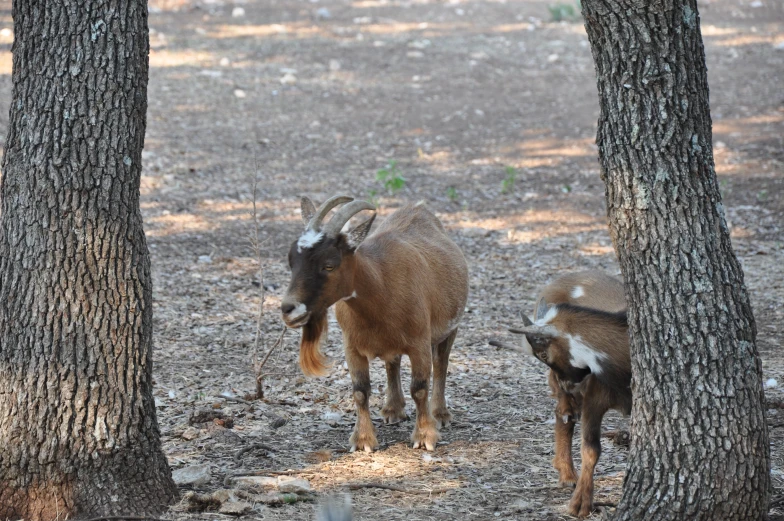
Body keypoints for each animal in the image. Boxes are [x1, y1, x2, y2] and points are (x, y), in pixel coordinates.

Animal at [282, 195, 468, 450]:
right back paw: (393, 410)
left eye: (329, 264)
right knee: (393, 363)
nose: (288, 309)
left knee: (441, 364)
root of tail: (418, 208)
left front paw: (425, 437)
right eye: (292, 261)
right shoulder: (351, 347)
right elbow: (360, 391)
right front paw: (363, 440)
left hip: (451, 327)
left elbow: (419, 389)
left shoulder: (419, 343)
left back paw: (440, 414)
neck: (382, 284)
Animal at [502, 270, 632, 516]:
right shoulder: (594, 396)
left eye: (543, 354)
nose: (567, 384)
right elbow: (591, 448)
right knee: (563, 415)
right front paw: (579, 505)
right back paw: (567, 474)